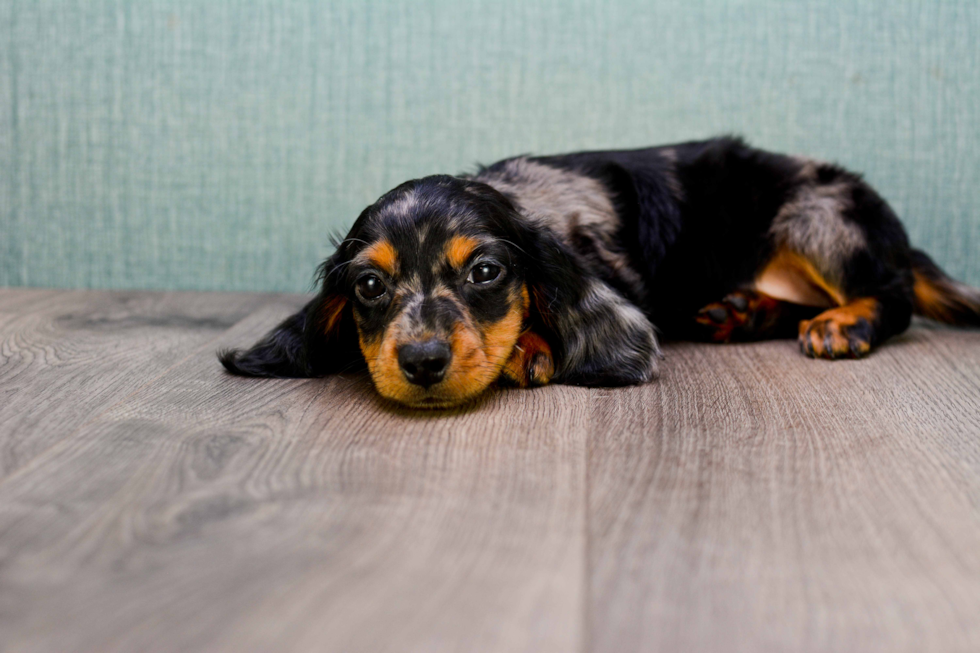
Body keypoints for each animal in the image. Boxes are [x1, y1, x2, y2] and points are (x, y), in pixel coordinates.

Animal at [222, 135, 980, 404]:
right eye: (369, 286)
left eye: (486, 273)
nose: (423, 362)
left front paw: (529, 346)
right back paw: (743, 310)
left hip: (815, 217)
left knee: (893, 295)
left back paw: (844, 323)